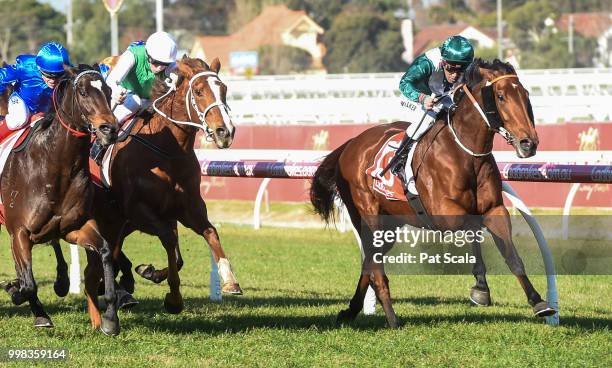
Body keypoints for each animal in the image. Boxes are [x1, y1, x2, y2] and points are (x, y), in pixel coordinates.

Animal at [0, 64, 119, 334]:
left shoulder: (75, 227)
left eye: (108, 91)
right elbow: (28, 284)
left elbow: (106, 252)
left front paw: (110, 319)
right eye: (83, 92)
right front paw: (30, 305)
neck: (55, 166)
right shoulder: (19, 231)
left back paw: (62, 280)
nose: (109, 129)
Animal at [91, 55, 239, 314]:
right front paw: (174, 298)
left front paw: (229, 280)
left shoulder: (185, 208)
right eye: (198, 91)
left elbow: (207, 234)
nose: (225, 131)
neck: (167, 150)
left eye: (224, 89)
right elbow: (169, 240)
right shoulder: (137, 210)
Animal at [310, 59, 556, 328]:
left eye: (526, 95)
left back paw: (351, 310)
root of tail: (351, 143)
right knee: (375, 263)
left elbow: (512, 256)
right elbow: (472, 228)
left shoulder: (494, 210)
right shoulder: (445, 215)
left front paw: (538, 302)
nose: (529, 143)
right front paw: (481, 287)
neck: (466, 154)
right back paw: (392, 319)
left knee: (370, 261)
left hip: (391, 223)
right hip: (367, 213)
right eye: (500, 97)